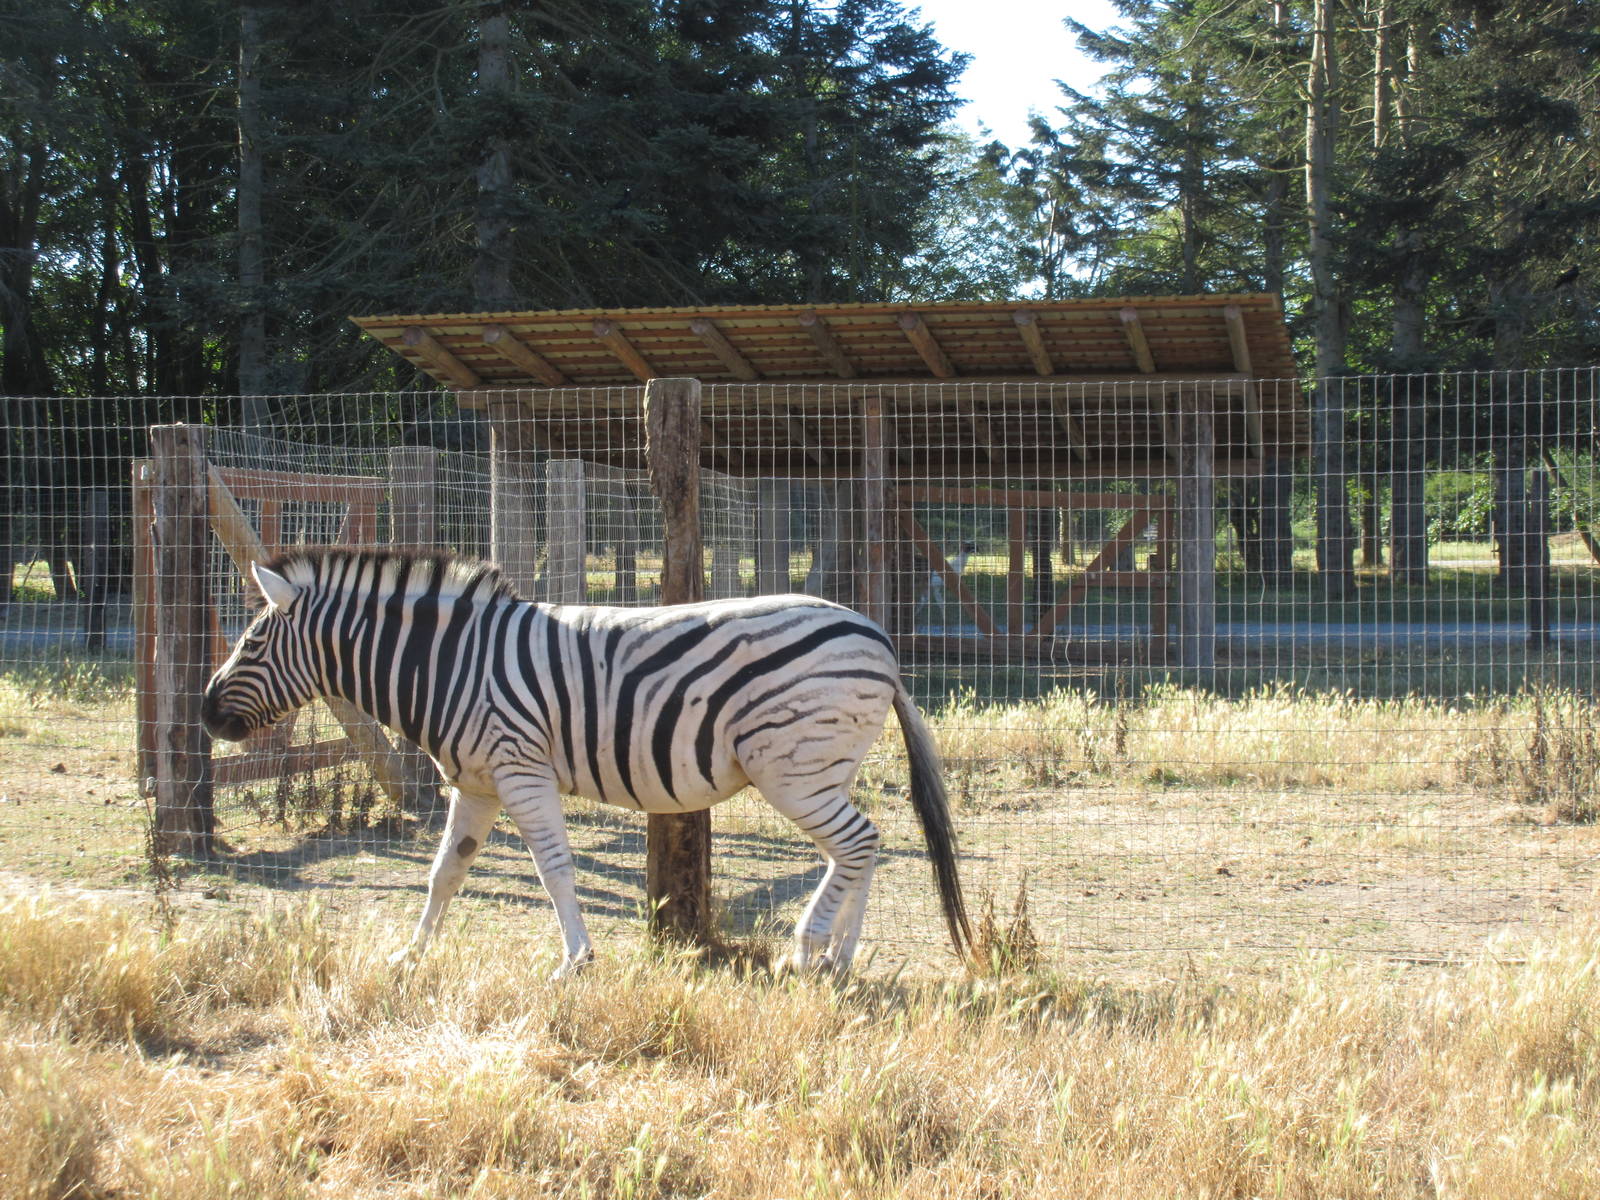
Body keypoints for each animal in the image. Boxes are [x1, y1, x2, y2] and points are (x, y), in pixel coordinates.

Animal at [201, 547, 971, 976]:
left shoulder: (520, 769)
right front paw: (410, 958)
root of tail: (877, 638)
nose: (206, 715)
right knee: (860, 848)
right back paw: (840, 957)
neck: (451, 664)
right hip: (823, 768)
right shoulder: (475, 784)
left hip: (792, 769)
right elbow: (445, 873)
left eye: (250, 643)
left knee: (857, 843)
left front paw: (574, 961)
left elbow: (553, 867)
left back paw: (806, 951)